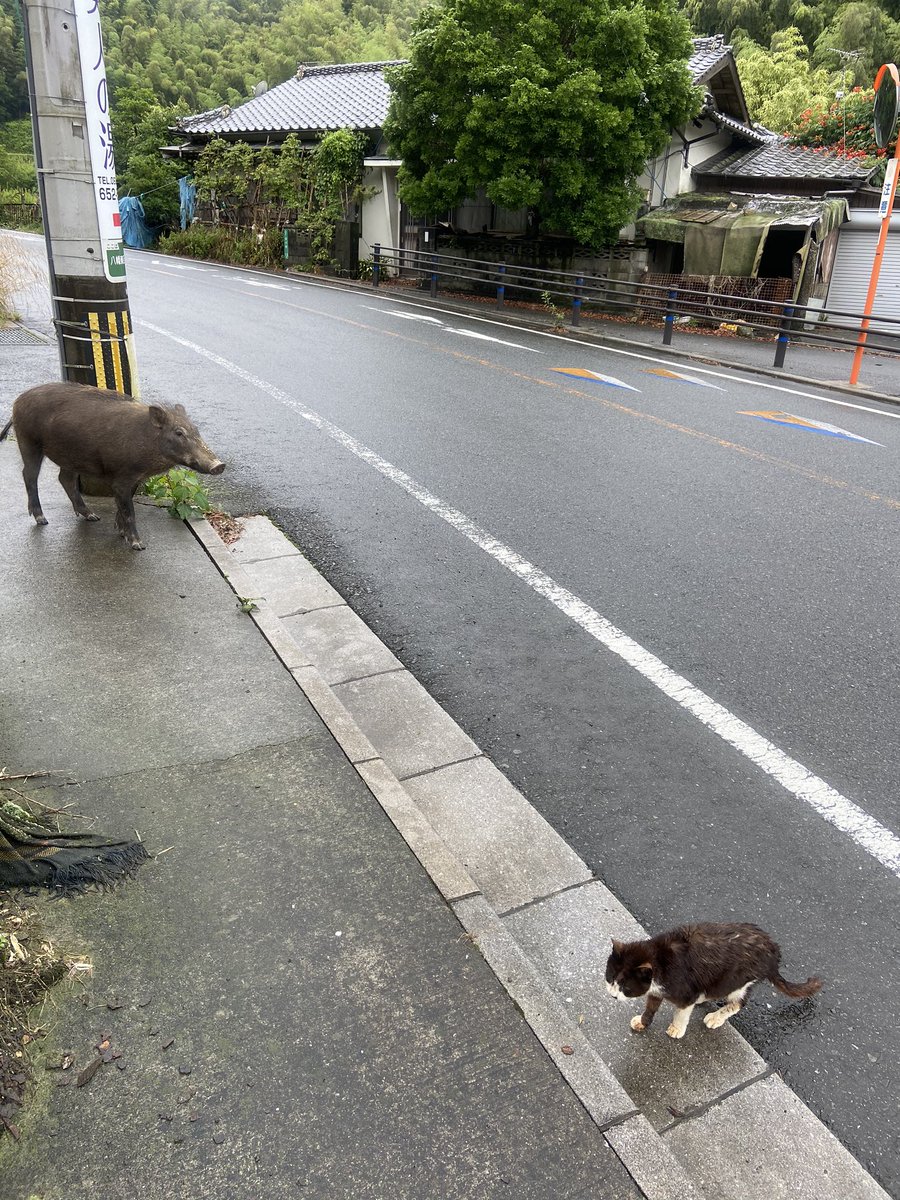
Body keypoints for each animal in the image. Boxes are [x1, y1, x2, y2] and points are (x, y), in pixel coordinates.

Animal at [607, 921, 825, 1036]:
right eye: (610, 978)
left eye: (626, 987)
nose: (612, 996)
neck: (660, 959)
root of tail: (774, 951)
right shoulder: (657, 989)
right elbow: (651, 1006)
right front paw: (643, 1022)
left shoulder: (685, 990)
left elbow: (682, 1010)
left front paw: (677, 1028)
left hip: (737, 979)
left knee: (739, 1002)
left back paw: (715, 1017)